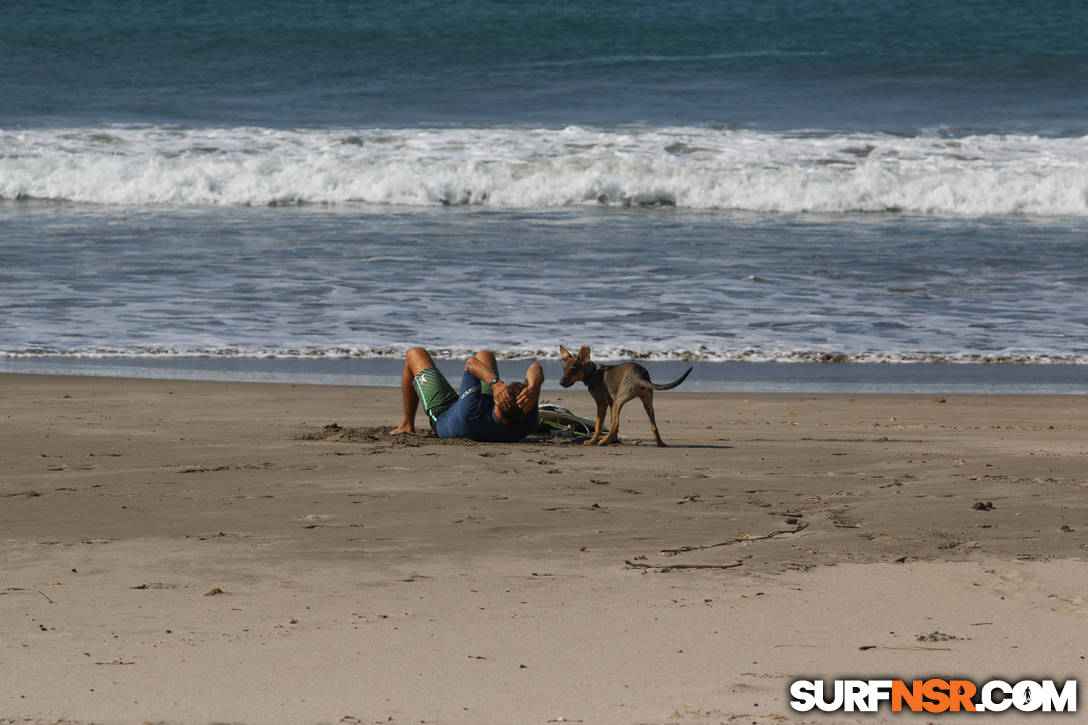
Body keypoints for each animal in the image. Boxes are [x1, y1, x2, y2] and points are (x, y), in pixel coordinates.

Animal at [557, 346, 691, 446]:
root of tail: (640, 376)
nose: (561, 383)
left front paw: (592, 441)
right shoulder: (611, 404)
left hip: (619, 401)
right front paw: (613, 440)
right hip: (647, 402)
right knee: (654, 425)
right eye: (563, 368)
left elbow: (599, 425)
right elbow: (611, 424)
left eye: (574, 369)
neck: (593, 373)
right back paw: (660, 443)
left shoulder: (602, 403)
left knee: (616, 424)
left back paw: (602, 441)